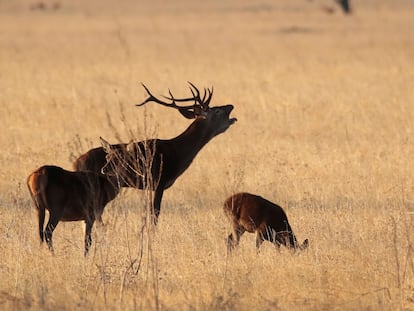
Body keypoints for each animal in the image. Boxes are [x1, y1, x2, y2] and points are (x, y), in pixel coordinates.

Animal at [74, 82, 236, 224]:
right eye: (217, 110)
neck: (179, 152)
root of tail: (77, 162)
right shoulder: (159, 181)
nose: (231, 105)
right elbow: (155, 214)